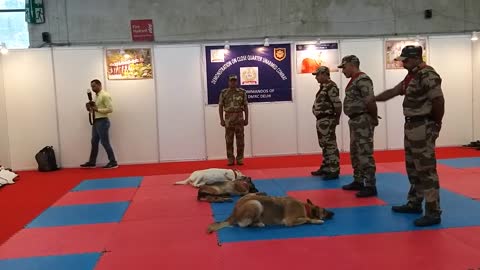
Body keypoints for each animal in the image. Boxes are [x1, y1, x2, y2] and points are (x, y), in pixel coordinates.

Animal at [206, 194, 334, 232]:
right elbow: (307, 219)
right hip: (256, 203)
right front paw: (317, 220)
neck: (305, 208)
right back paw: (258, 224)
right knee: (243, 225)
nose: (334, 213)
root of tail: (233, 212)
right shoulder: (289, 221)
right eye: (324, 210)